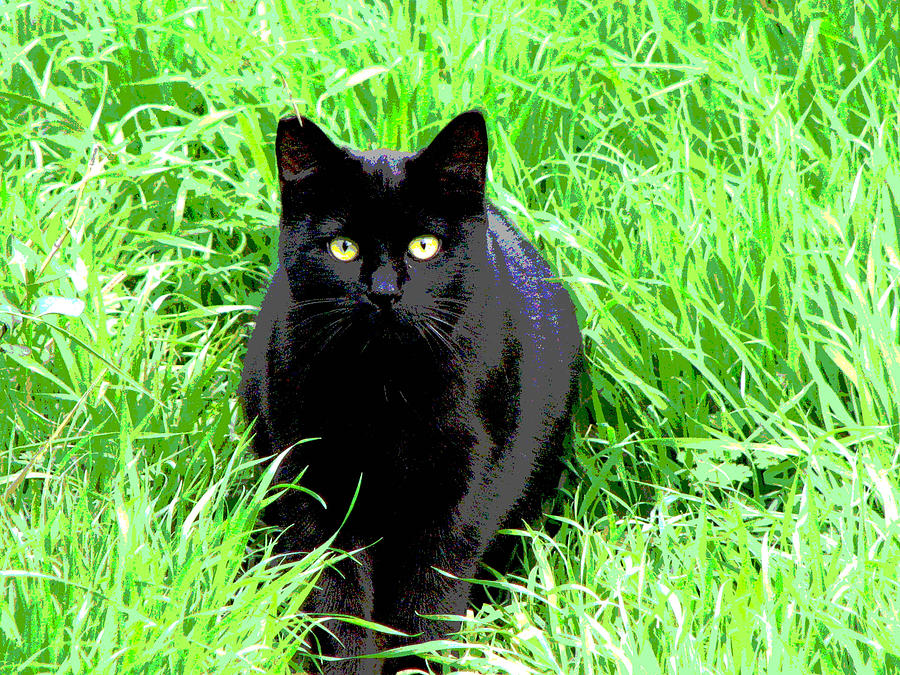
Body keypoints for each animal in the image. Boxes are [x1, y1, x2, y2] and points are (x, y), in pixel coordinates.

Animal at [237, 112, 584, 675]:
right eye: (343, 248)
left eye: (424, 246)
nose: (384, 293)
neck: (385, 391)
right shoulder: (315, 484)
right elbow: (337, 604)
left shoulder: (461, 495)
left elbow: (428, 602)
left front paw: (416, 665)